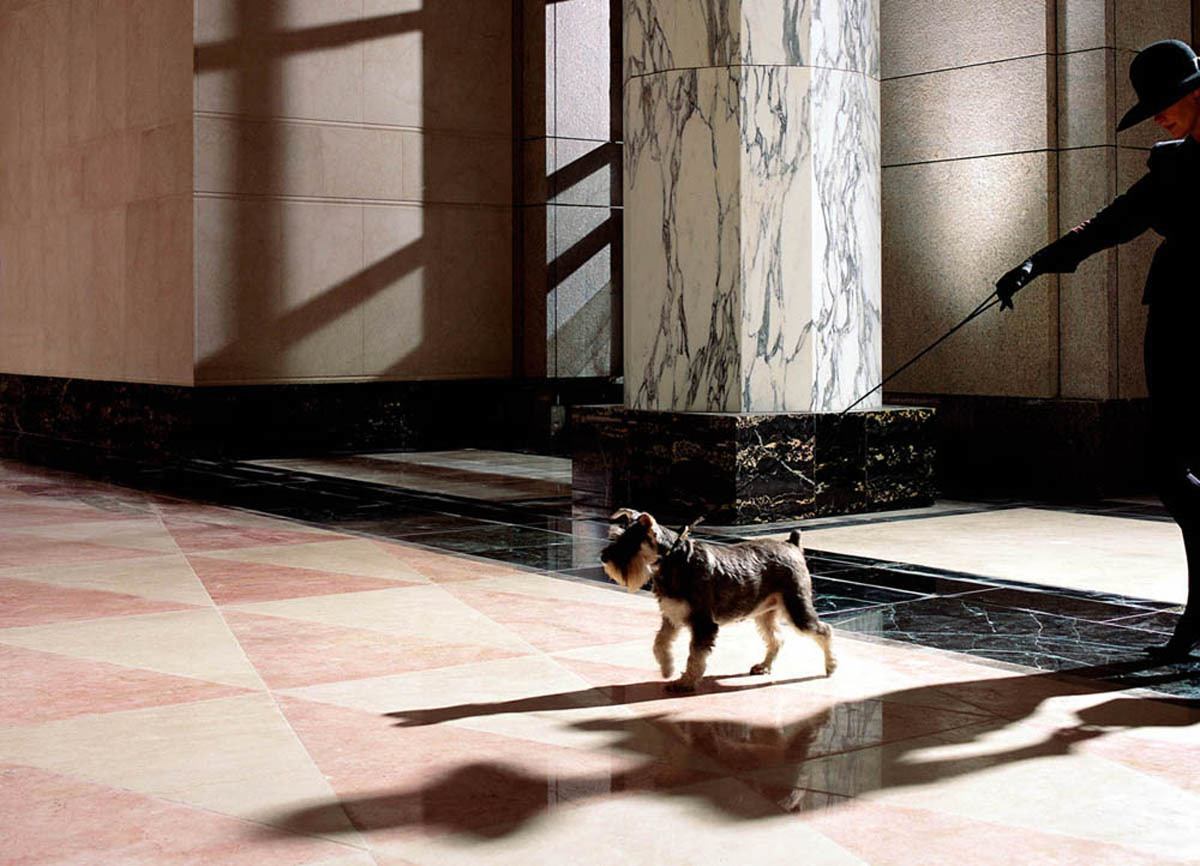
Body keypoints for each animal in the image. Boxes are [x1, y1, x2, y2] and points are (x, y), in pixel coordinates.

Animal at [597, 508, 835, 690]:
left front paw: (685, 682)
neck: (675, 559)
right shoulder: (671, 616)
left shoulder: (703, 623)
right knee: (776, 638)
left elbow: (695, 656)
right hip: (765, 613)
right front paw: (667, 669)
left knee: (823, 630)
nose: (603, 557)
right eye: (617, 536)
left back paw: (830, 666)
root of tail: (792, 544)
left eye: (629, 542)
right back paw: (764, 666)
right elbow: (659, 643)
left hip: (797, 607)